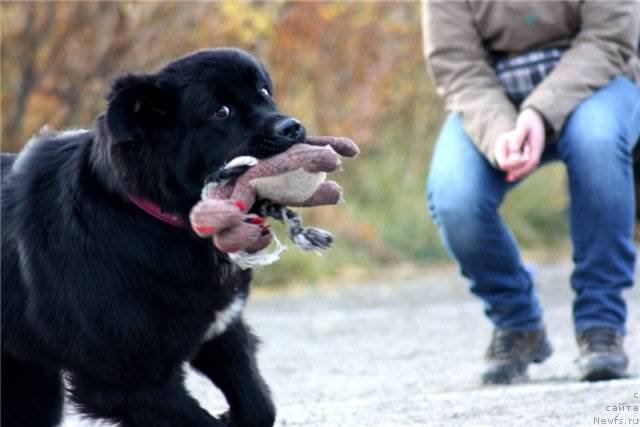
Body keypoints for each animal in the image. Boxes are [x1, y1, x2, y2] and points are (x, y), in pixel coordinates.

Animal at [1, 48, 308, 426]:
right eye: (220, 111)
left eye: (264, 92)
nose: (293, 128)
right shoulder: (126, 380)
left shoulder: (221, 330)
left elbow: (259, 406)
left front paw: (232, 416)